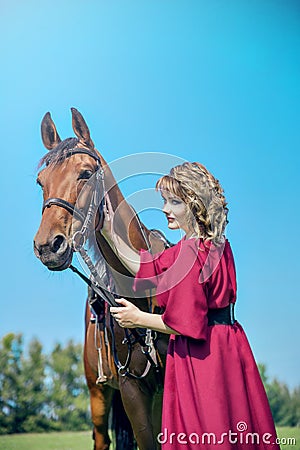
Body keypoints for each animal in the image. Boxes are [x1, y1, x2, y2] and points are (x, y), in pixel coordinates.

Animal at [33, 109, 169, 450]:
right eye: (41, 181)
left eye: (85, 174)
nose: (47, 245)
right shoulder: (132, 389)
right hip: (98, 392)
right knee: (101, 438)